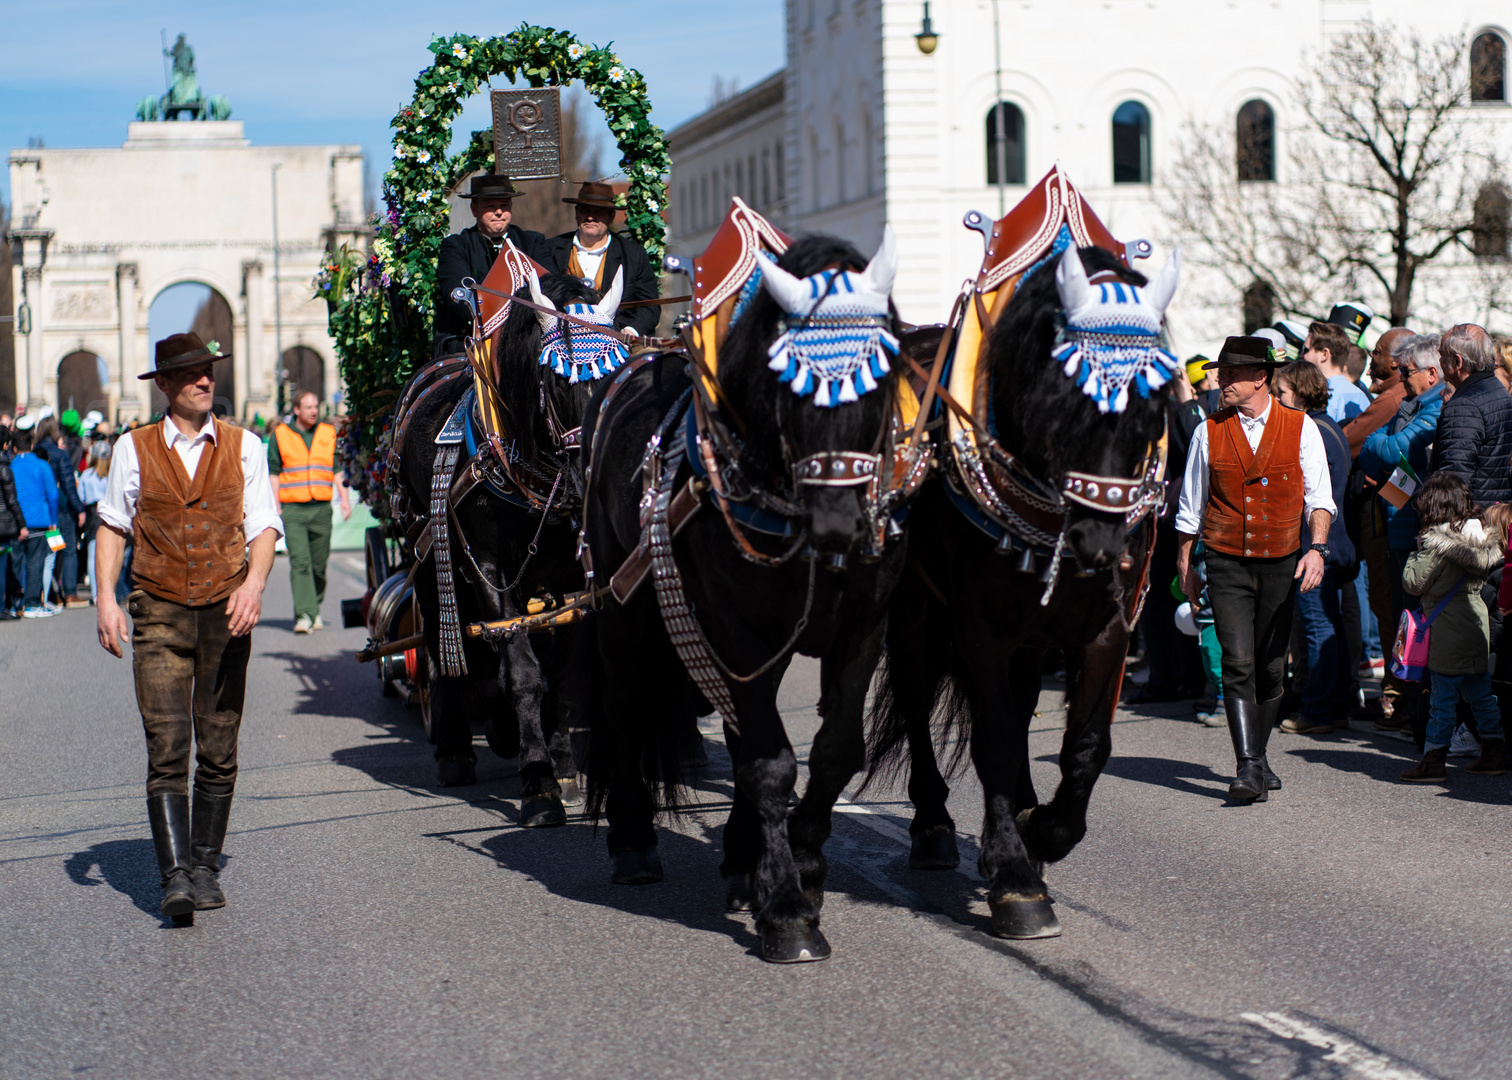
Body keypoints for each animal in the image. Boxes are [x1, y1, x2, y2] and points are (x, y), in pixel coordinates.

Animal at [399, 270, 604, 822]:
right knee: (442, 640)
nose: (593, 474)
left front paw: (562, 766)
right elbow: (523, 670)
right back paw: (454, 749)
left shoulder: (570, 577)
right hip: (426, 552)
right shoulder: (487, 566)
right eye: (559, 380)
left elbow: (563, 671)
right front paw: (538, 783)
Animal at [577, 232, 907, 962]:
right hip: (621, 608)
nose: (840, 526)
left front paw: (801, 868)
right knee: (623, 705)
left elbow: (834, 750)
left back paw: (737, 856)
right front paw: (786, 908)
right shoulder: (738, 632)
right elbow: (768, 764)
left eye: (882, 373)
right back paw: (634, 841)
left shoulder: (862, 629)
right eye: (789, 380)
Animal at [870, 243, 1173, 931]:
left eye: (1155, 402)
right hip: (916, 612)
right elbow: (998, 738)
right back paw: (932, 826)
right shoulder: (980, 628)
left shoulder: (1106, 628)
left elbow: (1086, 745)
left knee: (1021, 698)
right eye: (1062, 393)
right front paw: (1014, 878)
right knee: (918, 697)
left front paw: (1044, 833)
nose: (1102, 546)